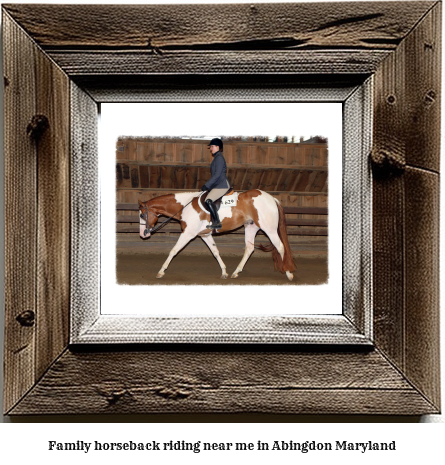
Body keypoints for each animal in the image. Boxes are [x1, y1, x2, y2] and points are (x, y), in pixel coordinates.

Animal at [137, 188, 296, 280]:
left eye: (142, 215)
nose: (143, 235)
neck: (185, 206)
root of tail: (271, 198)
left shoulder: (188, 233)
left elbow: (173, 250)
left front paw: (161, 271)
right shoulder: (205, 235)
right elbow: (215, 252)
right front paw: (224, 272)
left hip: (269, 229)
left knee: (280, 247)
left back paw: (288, 272)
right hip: (251, 227)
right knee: (249, 248)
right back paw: (236, 272)